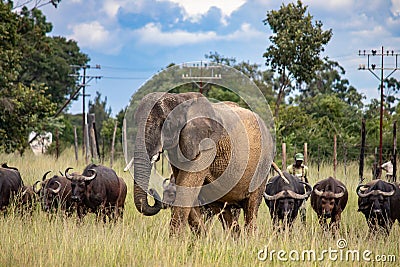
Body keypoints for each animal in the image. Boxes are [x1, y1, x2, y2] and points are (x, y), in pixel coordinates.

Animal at [131, 92, 276, 237]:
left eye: (166, 124)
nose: (152, 191)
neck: (181, 99)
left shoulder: (206, 145)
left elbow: (186, 188)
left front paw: (175, 241)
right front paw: (202, 238)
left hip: (262, 165)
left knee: (251, 208)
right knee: (224, 213)